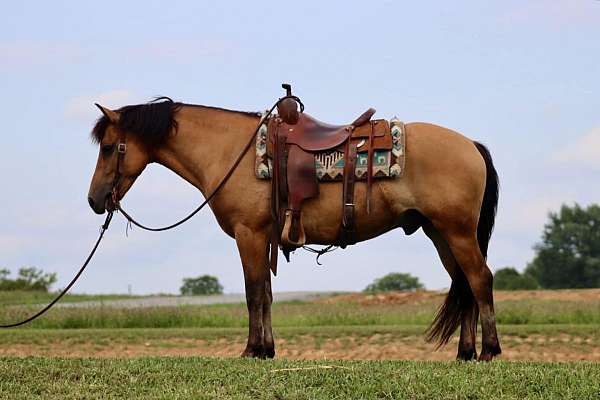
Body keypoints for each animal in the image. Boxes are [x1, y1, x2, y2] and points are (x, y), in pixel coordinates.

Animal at [86, 97, 502, 362]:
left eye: (107, 147)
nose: (94, 200)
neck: (231, 152)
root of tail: (471, 144)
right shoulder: (263, 238)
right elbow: (267, 295)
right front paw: (268, 349)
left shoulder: (249, 234)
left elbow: (254, 293)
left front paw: (252, 350)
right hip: (440, 233)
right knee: (464, 283)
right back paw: (465, 352)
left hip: (457, 231)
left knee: (480, 279)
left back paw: (489, 351)